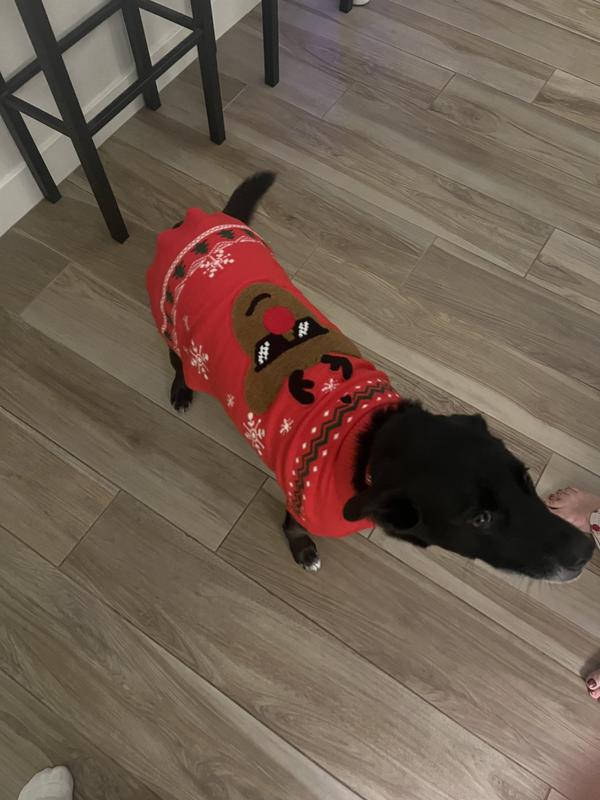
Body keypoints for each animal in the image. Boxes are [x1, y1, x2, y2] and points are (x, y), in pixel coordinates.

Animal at [147, 172, 593, 581]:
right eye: (479, 519)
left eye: (526, 478)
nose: (587, 551)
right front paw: (303, 550)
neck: (369, 443)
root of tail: (199, 226)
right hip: (175, 336)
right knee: (178, 363)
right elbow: (294, 526)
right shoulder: (301, 503)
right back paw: (182, 389)